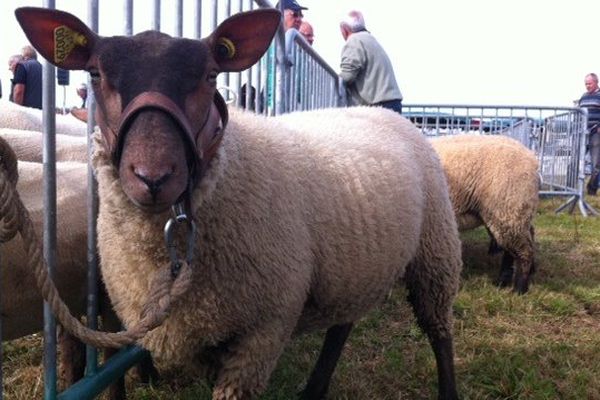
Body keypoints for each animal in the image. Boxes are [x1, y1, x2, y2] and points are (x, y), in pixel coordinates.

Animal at [15, 7, 464, 400]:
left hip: (435, 251)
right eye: (95, 73)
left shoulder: (263, 331)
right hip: (356, 267)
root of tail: (382, 114)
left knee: (439, 332)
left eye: (211, 75)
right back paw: (315, 388)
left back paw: (447, 388)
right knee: (342, 325)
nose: (152, 177)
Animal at [428, 134, 540, 294]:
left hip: (508, 207)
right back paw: (504, 281)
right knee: (518, 243)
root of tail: (531, 158)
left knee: (523, 251)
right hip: (510, 212)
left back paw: (519, 288)